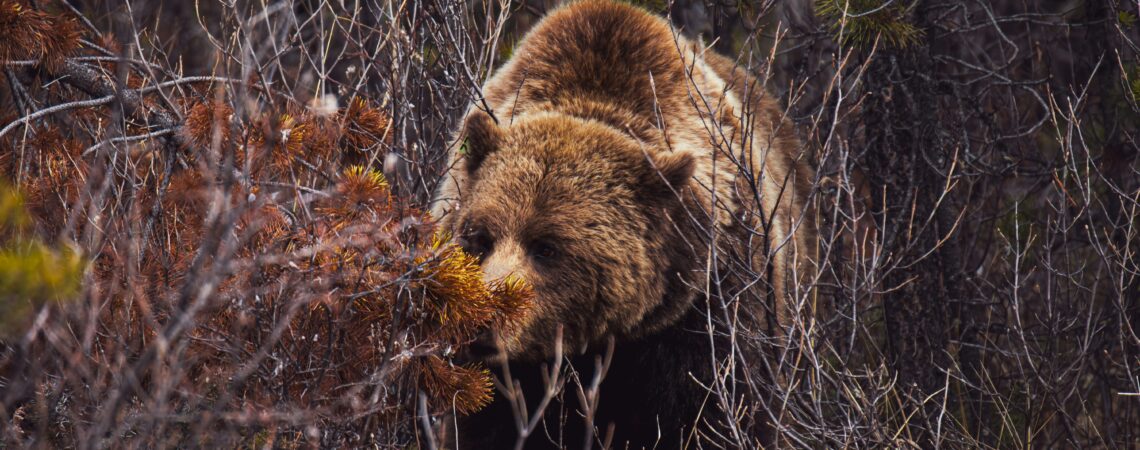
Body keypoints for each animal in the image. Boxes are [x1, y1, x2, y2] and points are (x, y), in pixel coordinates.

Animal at [430, 1, 815, 448]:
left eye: (546, 247)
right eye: (478, 237)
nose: (480, 317)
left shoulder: (708, 309)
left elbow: (716, 413)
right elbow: (485, 422)